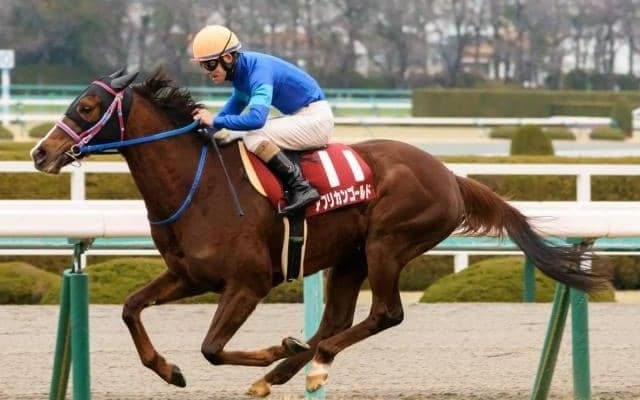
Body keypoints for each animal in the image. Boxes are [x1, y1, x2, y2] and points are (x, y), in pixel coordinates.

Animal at [30, 69, 610, 397]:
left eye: (86, 108)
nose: (41, 152)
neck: (198, 186)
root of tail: (450, 175)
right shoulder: (189, 276)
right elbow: (131, 309)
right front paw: (168, 369)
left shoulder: (248, 283)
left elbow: (213, 348)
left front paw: (267, 350)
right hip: (349, 256)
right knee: (336, 321)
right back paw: (288, 368)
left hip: (387, 244)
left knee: (383, 315)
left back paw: (311, 365)